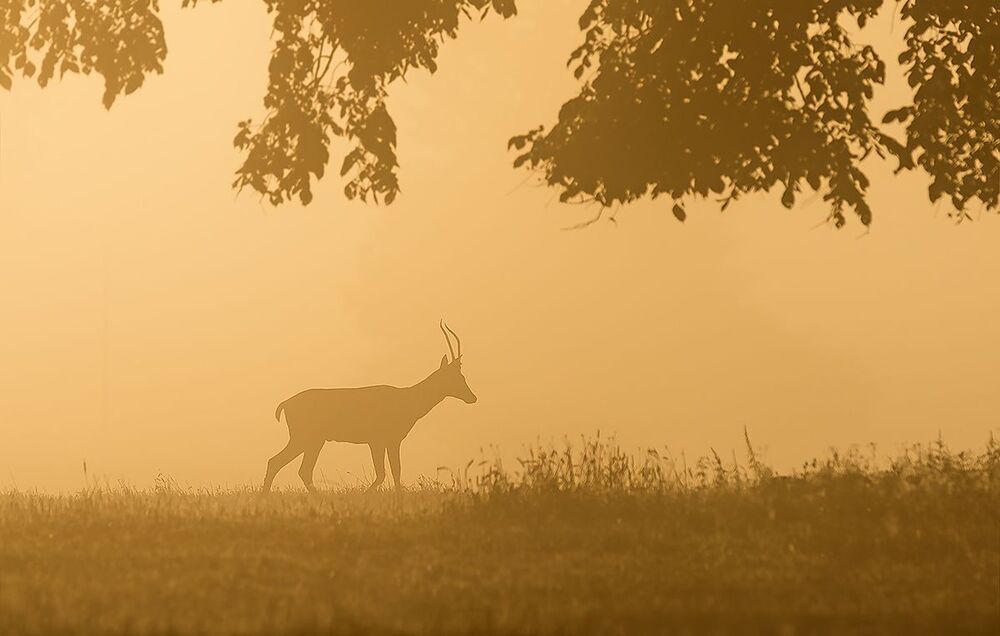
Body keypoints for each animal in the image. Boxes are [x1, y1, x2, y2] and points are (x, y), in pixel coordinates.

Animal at [262, 321, 477, 493]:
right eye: (458, 377)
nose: (472, 397)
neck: (408, 401)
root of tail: (285, 404)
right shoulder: (381, 440)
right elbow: (387, 473)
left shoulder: (386, 441)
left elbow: (393, 472)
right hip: (305, 437)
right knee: (280, 463)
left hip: (313, 440)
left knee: (296, 468)